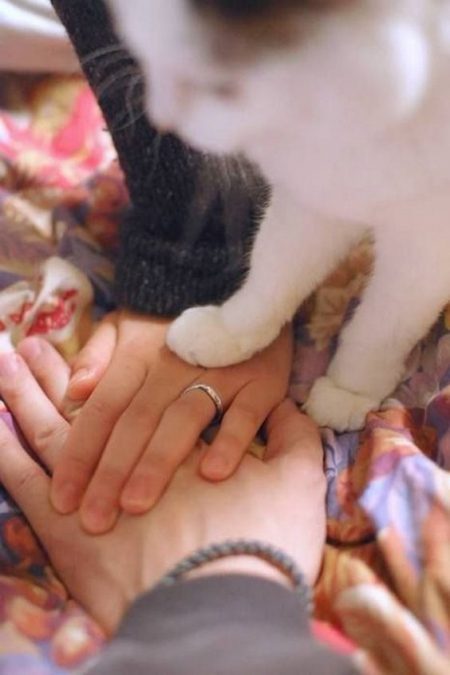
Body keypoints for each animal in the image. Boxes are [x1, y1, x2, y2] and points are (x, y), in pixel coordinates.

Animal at [104, 0, 450, 430]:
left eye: (220, 88)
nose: (161, 117)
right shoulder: (316, 196)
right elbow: (273, 276)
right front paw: (229, 331)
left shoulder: (423, 249)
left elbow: (381, 326)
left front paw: (350, 389)